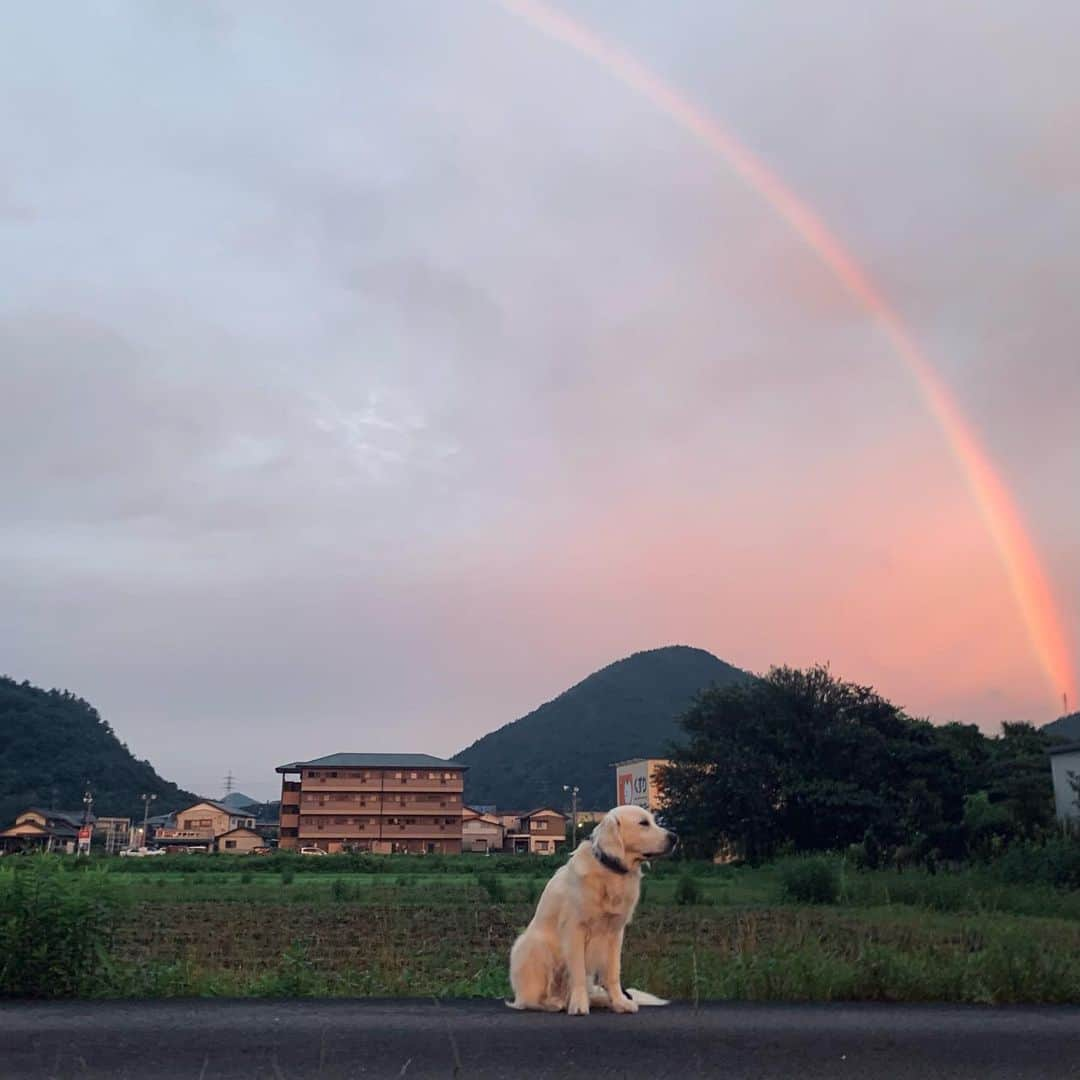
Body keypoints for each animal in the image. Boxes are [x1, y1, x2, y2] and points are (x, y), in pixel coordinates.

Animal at [505, 807, 673, 1015]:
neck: (610, 871)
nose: (675, 837)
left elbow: (613, 973)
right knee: (528, 1000)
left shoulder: (615, 932)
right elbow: (577, 971)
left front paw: (620, 1002)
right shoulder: (575, 930)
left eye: (654, 821)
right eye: (643, 823)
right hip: (534, 946)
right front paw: (579, 1005)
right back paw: (553, 1003)